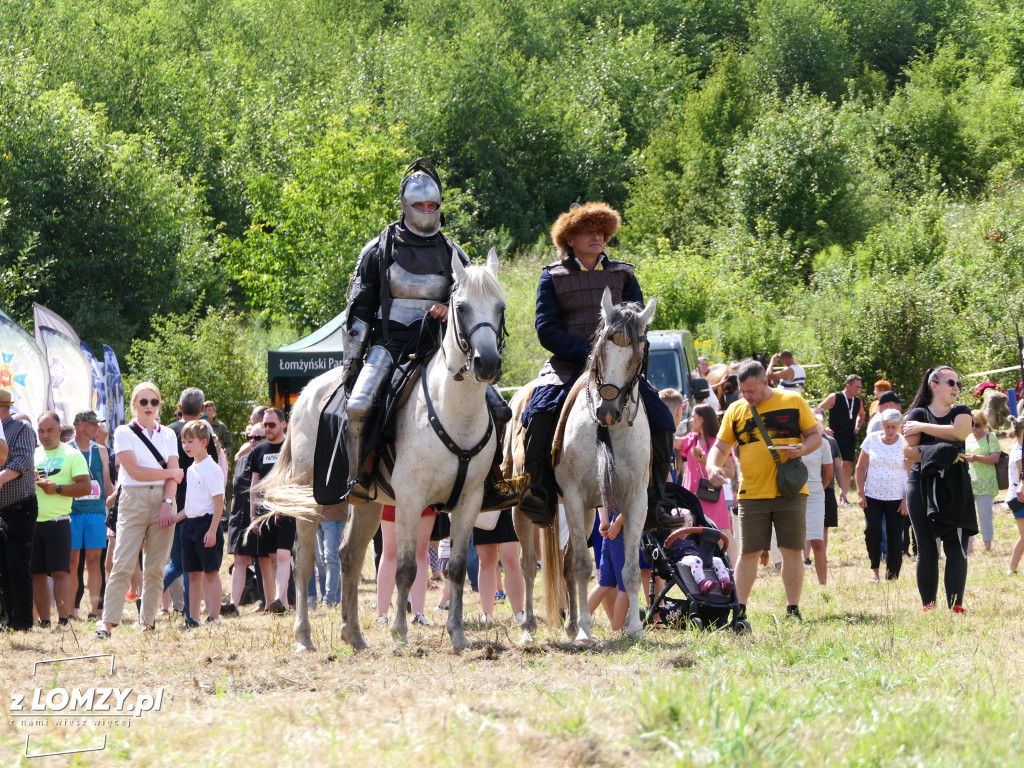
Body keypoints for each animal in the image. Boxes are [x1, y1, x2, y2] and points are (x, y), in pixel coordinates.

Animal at [260, 250, 507, 651]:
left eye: (500, 307)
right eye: (462, 307)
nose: (487, 363)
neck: (453, 410)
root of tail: (307, 393)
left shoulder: (469, 501)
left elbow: (455, 569)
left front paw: (457, 635)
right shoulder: (410, 499)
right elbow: (405, 568)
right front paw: (400, 633)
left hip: (369, 503)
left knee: (349, 555)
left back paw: (354, 635)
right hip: (309, 498)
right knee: (304, 561)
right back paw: (304, 638)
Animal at [520, 290, 655, 647]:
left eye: (637, 353)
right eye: (603, 346)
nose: (607, 409)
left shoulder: (635, 499)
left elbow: (630, 570)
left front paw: (635, 629)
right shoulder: (574, 496)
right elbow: (582, 566)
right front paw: (584, 631)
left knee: (565, 562)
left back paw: (569, 625)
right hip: (523, 510)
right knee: (528, 566)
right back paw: (530, 628)